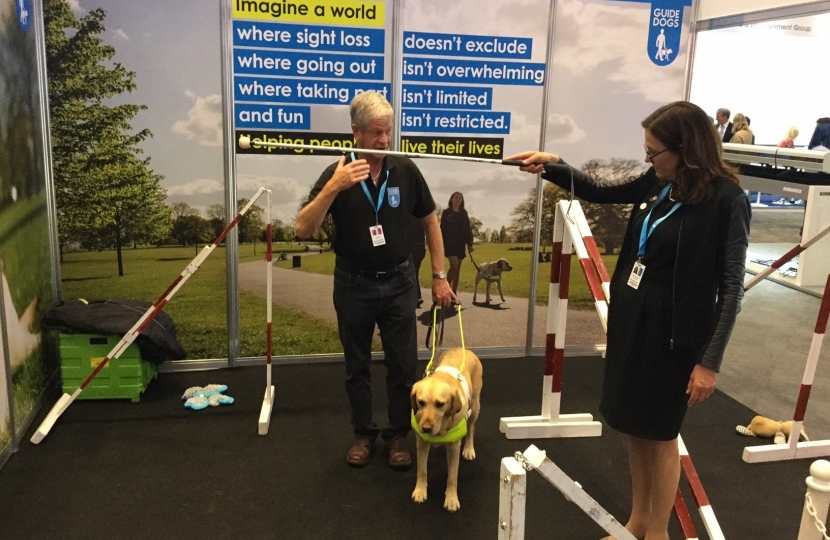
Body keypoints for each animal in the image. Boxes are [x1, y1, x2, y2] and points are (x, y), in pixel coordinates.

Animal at [410, 348, 480, 512]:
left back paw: (469, 449)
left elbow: (452, 477)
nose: (426, 428)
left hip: (475, 406)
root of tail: (464, 349)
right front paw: (420, 490)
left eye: (440, 404)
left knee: (471, 429)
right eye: (421, 402)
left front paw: (451, 499)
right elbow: (422, 470)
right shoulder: (421, 443)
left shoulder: (454, 447)